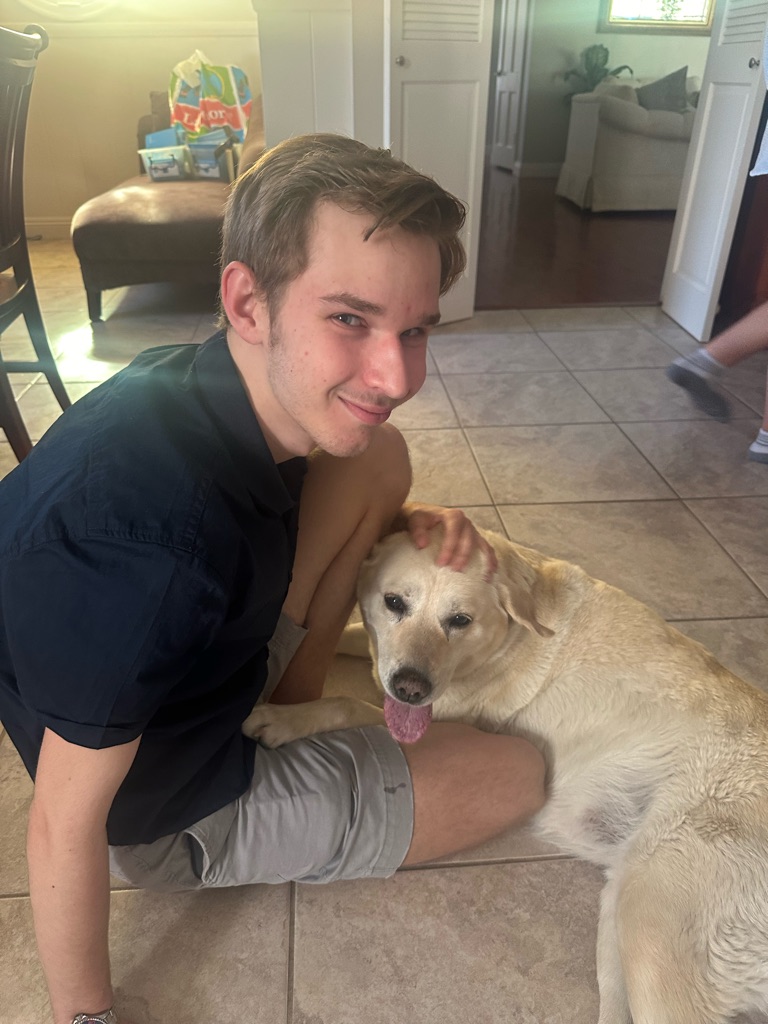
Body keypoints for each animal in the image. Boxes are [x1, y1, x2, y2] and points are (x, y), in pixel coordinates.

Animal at [243, 527, 768, 1024]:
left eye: (460, 620)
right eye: (394, 603)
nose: (411, 688)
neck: (507, 638)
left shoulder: (441, 723)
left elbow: (344, 701)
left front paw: (279, 717)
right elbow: (355, 636)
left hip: (653, 926)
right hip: (621, 918)